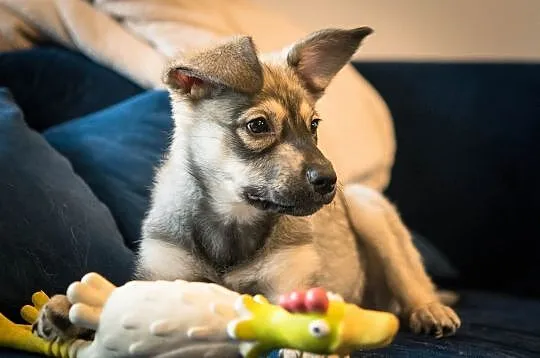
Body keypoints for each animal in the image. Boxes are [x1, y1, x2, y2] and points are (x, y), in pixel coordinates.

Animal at [37, 26, 460, 356]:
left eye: (314, 126)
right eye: (258, 126)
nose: (329, 180)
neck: (233, 220)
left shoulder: (287, 282)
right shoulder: (162, 272)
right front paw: (66, 307)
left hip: (368, 207)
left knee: (412, 277)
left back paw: (429, 310)